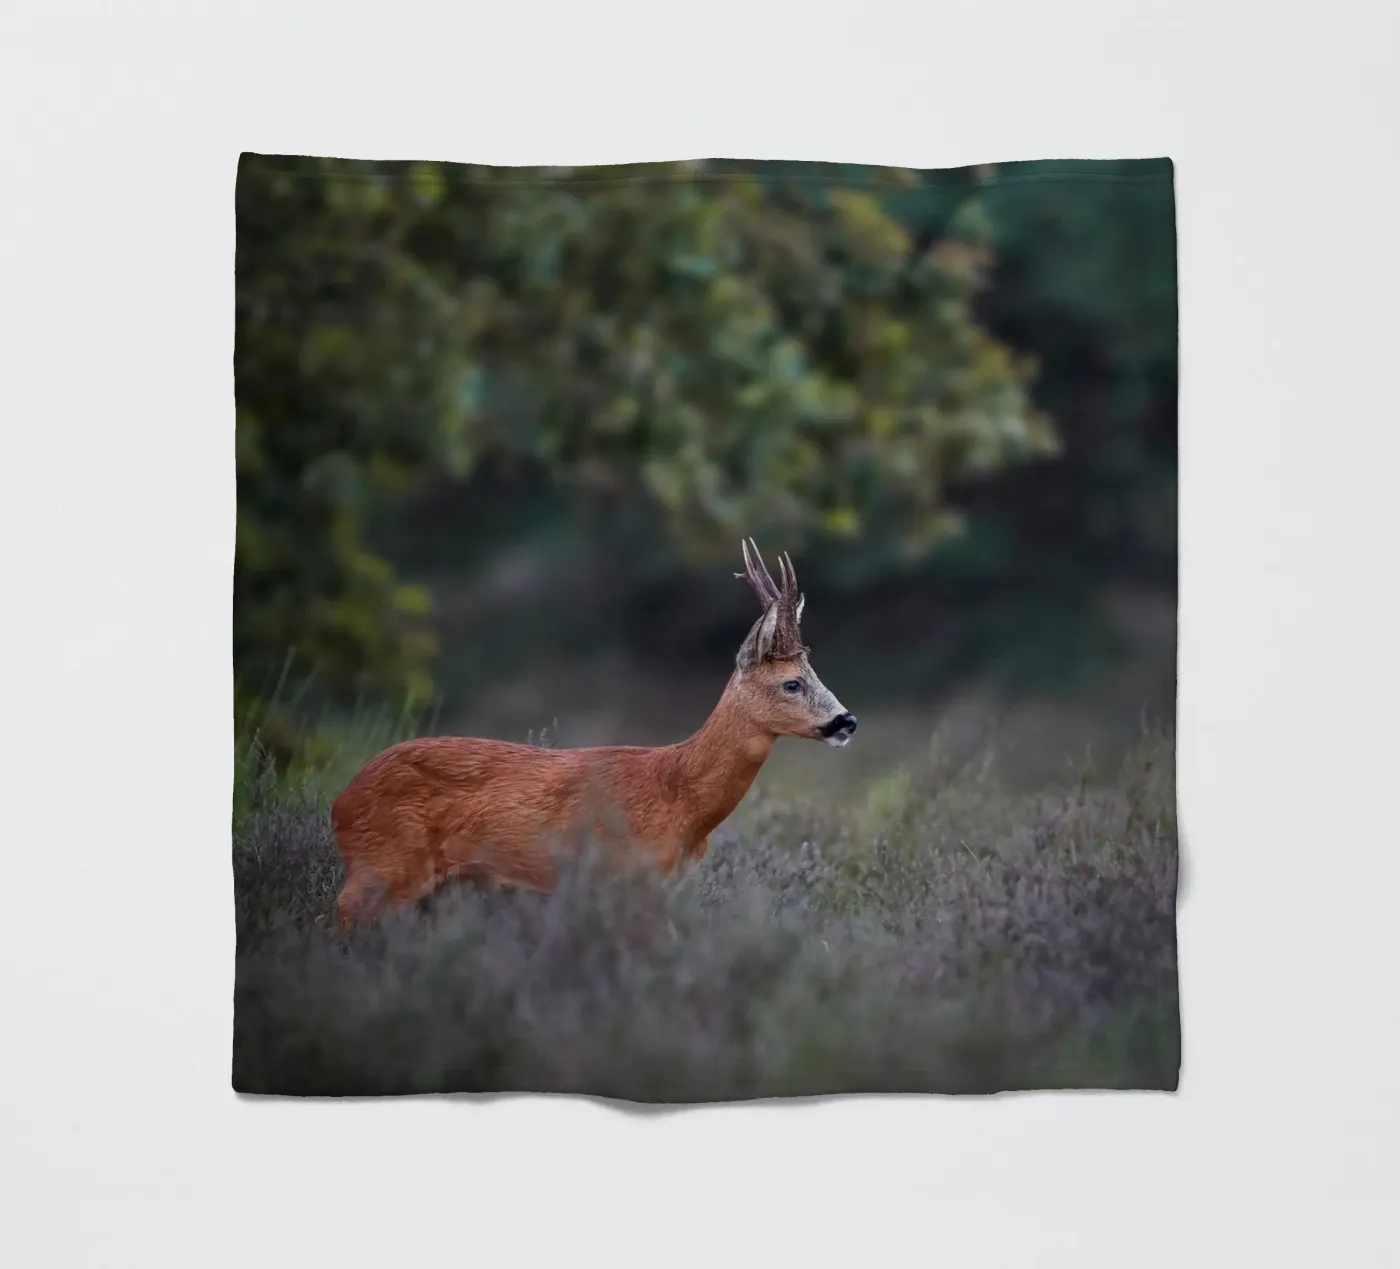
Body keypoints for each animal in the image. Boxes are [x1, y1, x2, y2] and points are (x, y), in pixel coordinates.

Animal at [328, 540, 858, 926]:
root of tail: (340, 803)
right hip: (385, 866)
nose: (846, 721)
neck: (680, 799)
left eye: (814, 672)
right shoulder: (626, 879)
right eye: (792, 683)